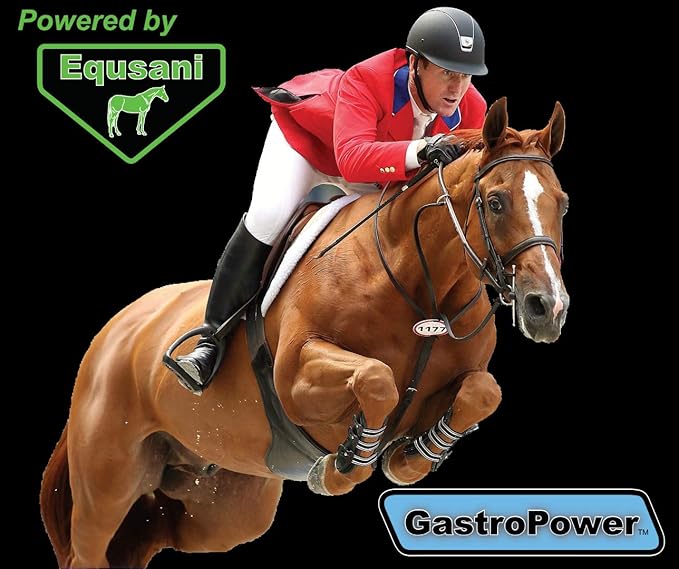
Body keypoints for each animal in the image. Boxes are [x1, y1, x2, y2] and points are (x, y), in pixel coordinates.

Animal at [41, 97, 569, 568]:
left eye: (562, 204)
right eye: (496, 202)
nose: (547, 308)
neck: (423, 289)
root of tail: (114, 329)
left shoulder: (462, 378)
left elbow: (482, 391)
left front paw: (411, 457)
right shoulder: (295, 375)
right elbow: (376, 379)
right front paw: (346, 463)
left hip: (221, 504)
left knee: (146, 540)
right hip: (108, 480)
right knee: (91, 548)